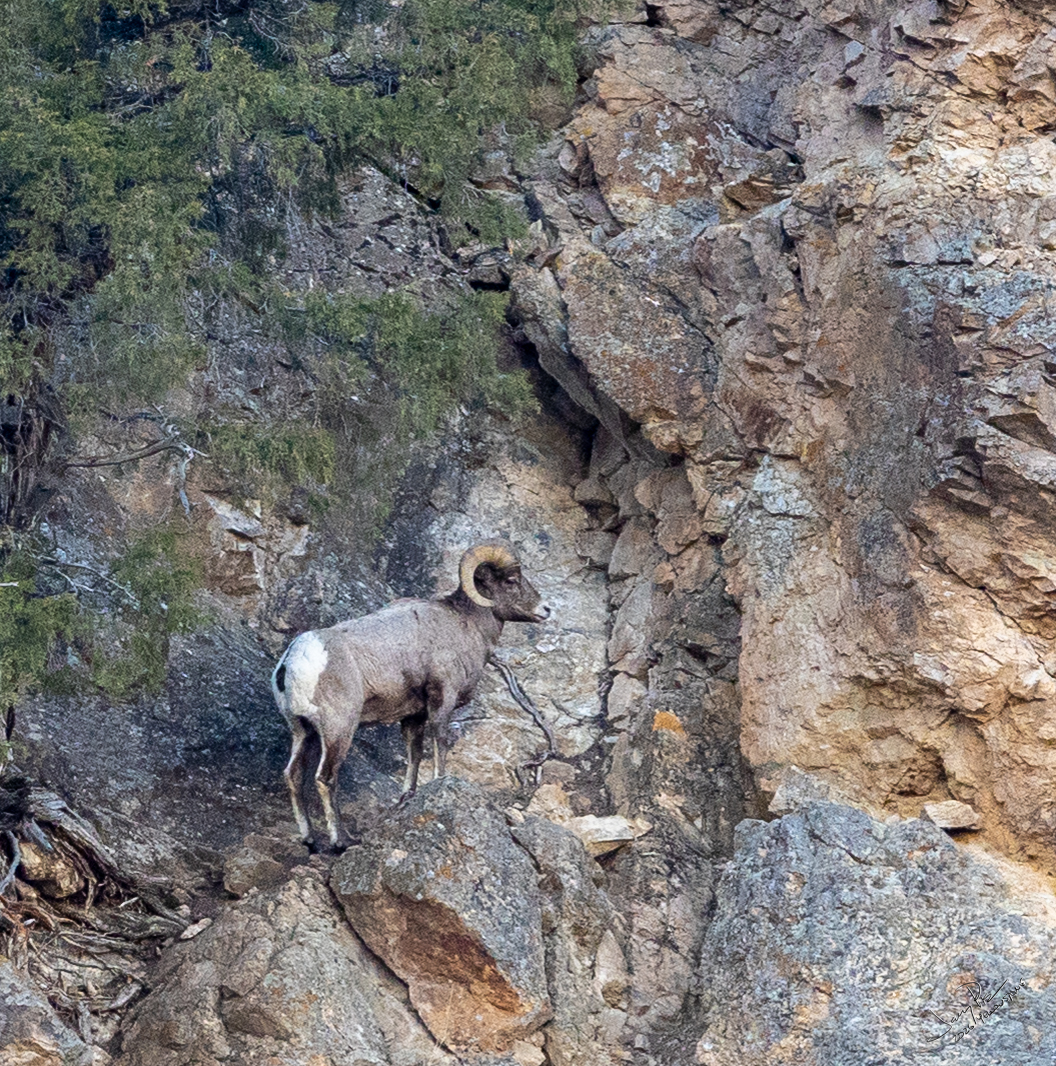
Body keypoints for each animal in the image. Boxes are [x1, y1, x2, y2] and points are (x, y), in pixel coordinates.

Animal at [271, 541, 551, 848]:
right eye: (511, 580)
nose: (546, 609)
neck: (465, 625)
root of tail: (296, 658)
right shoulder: (442, 700)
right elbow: (439, 743)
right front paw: (440, 781)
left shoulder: (413, 716)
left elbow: (414, 753)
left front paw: (408, 795)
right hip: (338, 730)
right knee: (325, 778)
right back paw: (342, 841)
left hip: (303, 731)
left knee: (294, 775)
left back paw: (309, 839)